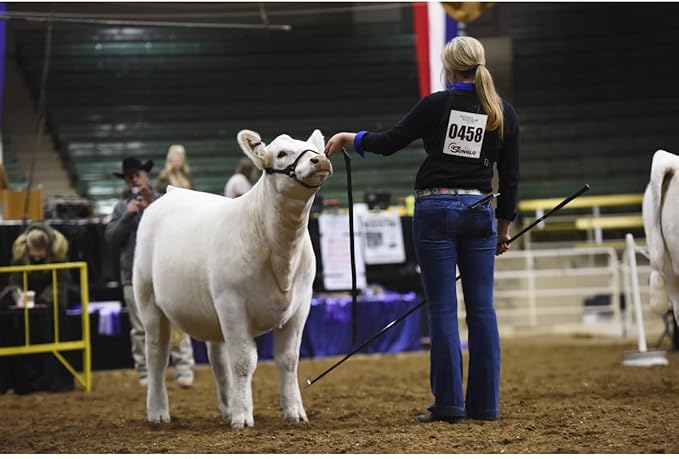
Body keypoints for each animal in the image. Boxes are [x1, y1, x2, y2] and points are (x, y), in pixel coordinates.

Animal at [132, 129, 333, 428]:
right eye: (281, 153)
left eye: (315, 149)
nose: (319, 160)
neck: (281, 255)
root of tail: (172, 192)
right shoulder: (232, 303)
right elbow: (243, 361)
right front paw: (242, 417)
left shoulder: (301, 306)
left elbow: (288, 359)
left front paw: (294, 412)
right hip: (148, 298)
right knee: (156, 354)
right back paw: (158, 412)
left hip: (210, 312)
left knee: (217, 359)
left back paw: (227, 407)